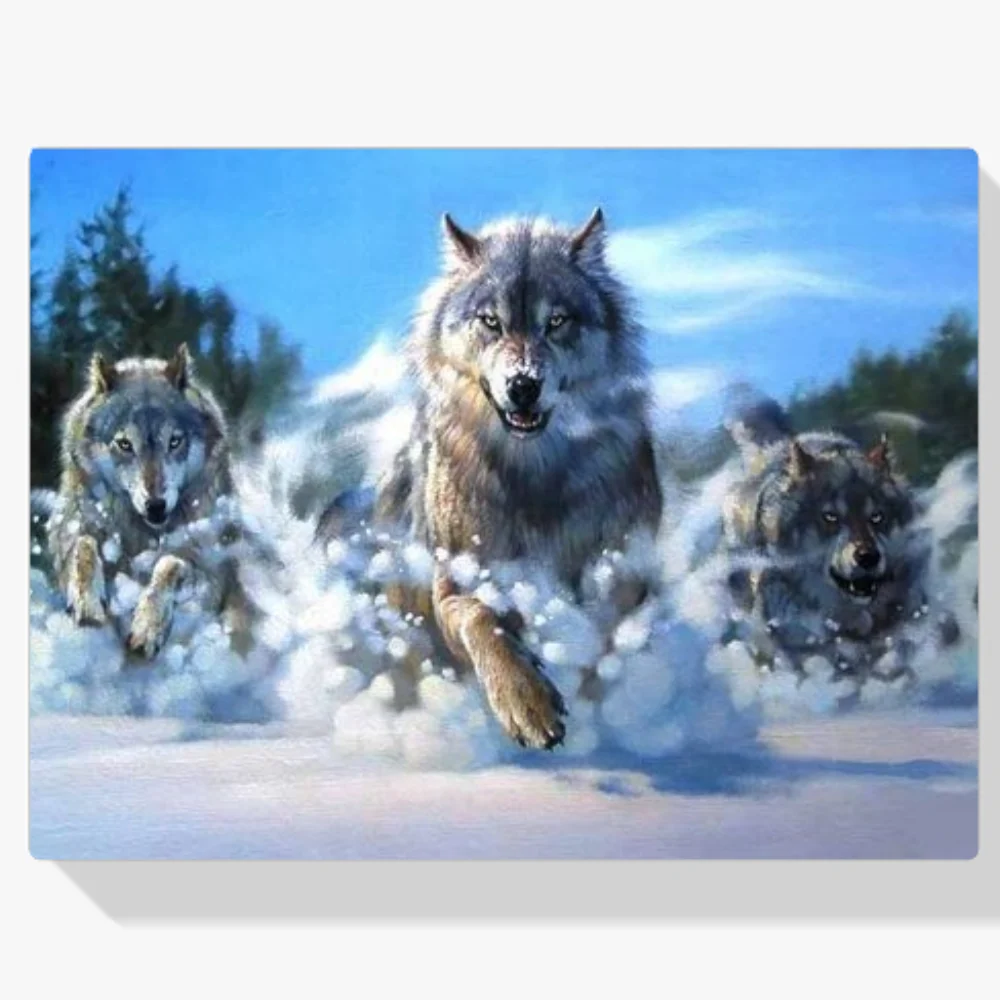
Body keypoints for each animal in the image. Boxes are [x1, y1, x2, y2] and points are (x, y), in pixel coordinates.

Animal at [46, 344, 248, 658]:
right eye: (124, 444)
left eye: (174, 441)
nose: (156, 505)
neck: (141, 533)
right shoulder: (69, 530)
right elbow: (84, 546)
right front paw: (86, 602)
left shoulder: (207, 567)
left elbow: (168, 564)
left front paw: (147, 628)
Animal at [319, 209, 663, 749]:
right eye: (491, 322)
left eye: (557, 321)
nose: (523, 385)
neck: (534, 474)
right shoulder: (456, 582)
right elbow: (483, 619)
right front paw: (527, 703)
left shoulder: (625, 573)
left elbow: (604, 641)